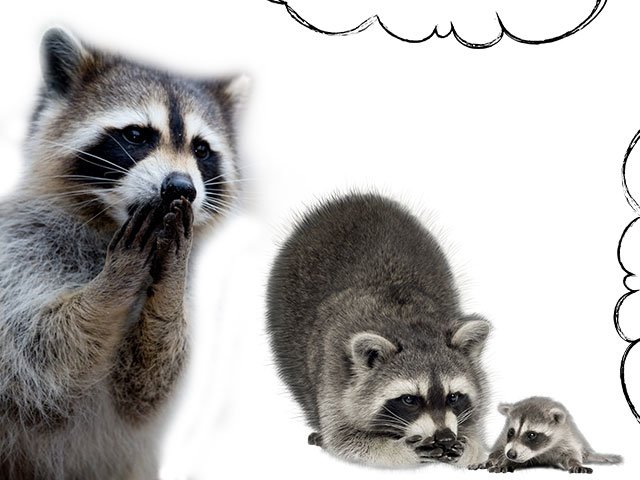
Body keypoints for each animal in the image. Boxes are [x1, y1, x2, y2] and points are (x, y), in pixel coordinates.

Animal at [0, 28, 247, 479]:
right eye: (136, 135)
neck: (109, 227)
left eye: (201, 150)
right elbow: (36, 359)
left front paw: (167, 289)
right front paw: (113, 284)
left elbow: (144, 389)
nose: (181, 188)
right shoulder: (18, 252)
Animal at [267, 192, 492, 467]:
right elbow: (343, 438)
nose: (445, 437)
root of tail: (357, 198)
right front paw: (400, 450)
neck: (407, 324)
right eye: (409, 399)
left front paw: (468, 445)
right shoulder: (335, 373)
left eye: (453, 397)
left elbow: (477, 431)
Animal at [473, 397, 623, 473]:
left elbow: (571, 455)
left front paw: (575, 463)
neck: (542, 451)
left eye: (531, 435)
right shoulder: (505, 440)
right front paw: (504, 461)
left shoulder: (566, 438)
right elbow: (500, 452)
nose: (511, 454)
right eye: (511, 432)